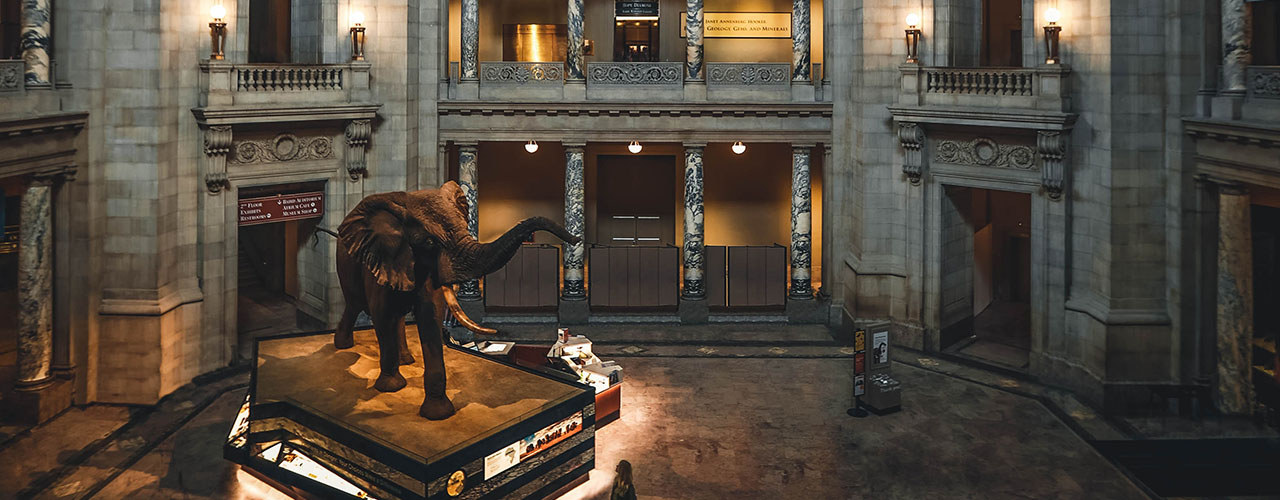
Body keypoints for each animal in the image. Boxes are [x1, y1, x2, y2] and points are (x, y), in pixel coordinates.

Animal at [332, 181, 578, 421]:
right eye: (429, 242)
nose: (576, 238)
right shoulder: (383, 257)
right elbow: (381, 314)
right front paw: (391, 388)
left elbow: (430, 315)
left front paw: (438, 413)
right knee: (355, 304)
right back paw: (343, 345)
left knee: (396, 315)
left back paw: (407, 360)